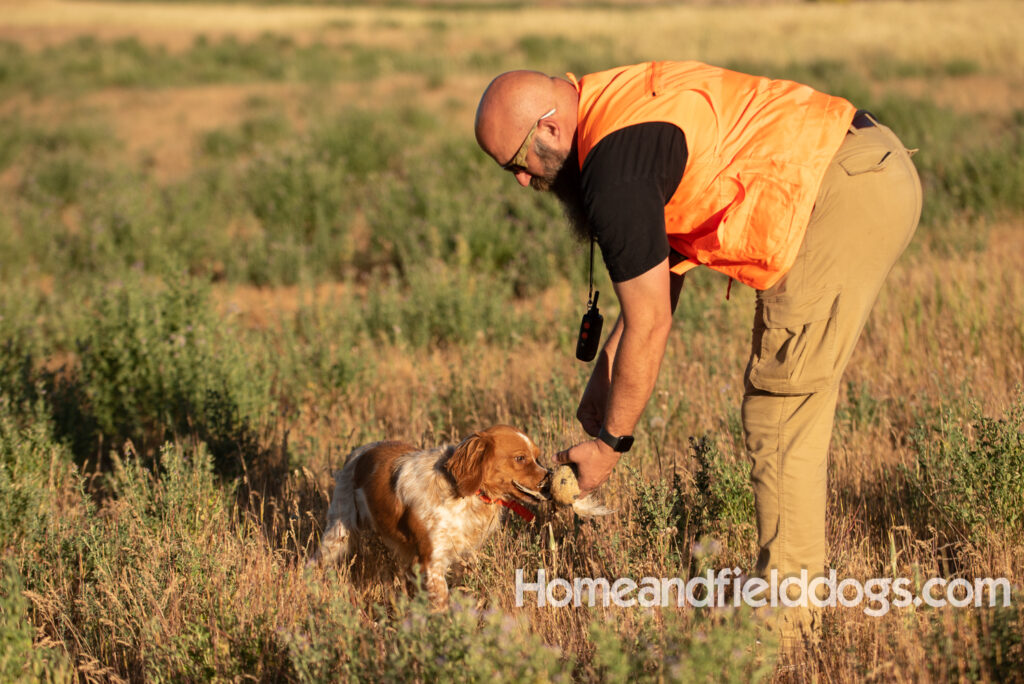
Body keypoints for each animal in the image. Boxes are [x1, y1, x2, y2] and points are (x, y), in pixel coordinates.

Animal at [309, 423, 552, 606]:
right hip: (338, 533)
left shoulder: (463, 555)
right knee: (314, 562)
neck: (463, 494)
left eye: (537, 457)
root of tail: (359, 451)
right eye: (520, 458)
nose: (549, 478)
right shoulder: (431, 561)